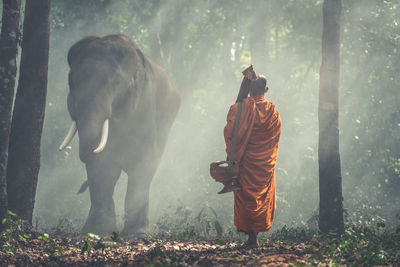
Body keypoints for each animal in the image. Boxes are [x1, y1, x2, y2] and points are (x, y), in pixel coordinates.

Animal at [59, 35, 180, 237]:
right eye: (70, 84)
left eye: (116, 82)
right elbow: (103, 167)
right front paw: (96, 232)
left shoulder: (145, 106)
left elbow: (143, 161)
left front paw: (137, 234)